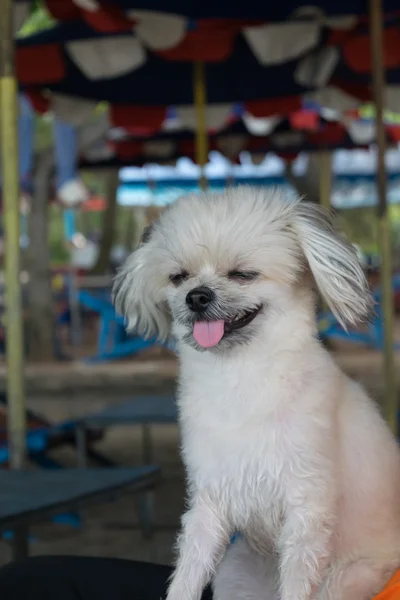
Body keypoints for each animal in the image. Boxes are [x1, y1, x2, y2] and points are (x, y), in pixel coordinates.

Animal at [111, 189, 400, 600]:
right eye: (178, 277)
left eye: (243, 274)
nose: (197, 296)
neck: (240, 380)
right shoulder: (208, 505)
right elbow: (186, 576)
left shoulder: (306, 510)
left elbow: (296, 582)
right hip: (234, 572)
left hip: (346, 579)